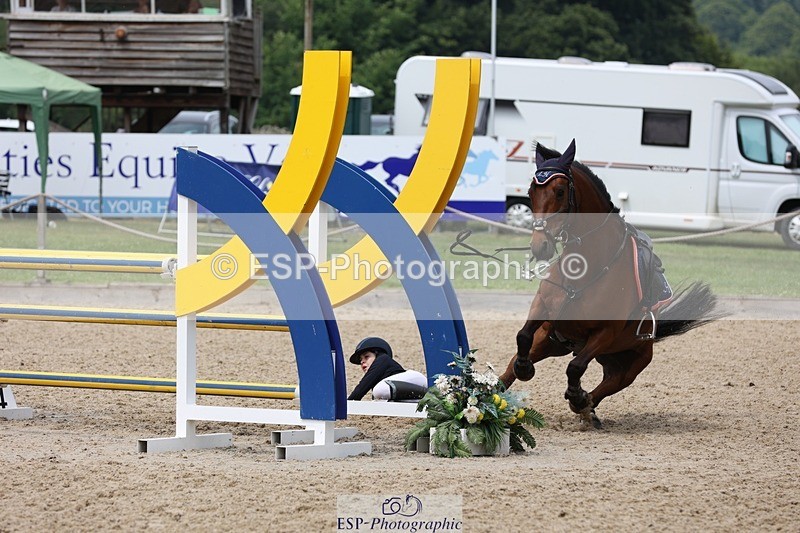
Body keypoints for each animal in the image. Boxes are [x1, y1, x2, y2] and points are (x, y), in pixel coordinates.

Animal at [499, 140, 720, 428]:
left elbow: (576, 368)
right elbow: (522, 337)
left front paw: (578, 396)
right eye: (530, 191)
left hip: (633, 362)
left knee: (609, 383)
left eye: (559, 191)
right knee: (513, 366)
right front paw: (525, 368)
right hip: (552, 342)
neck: (586, 267)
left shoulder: (605, 333)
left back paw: (585, 404)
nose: (540, 246)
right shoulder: (543, 309)